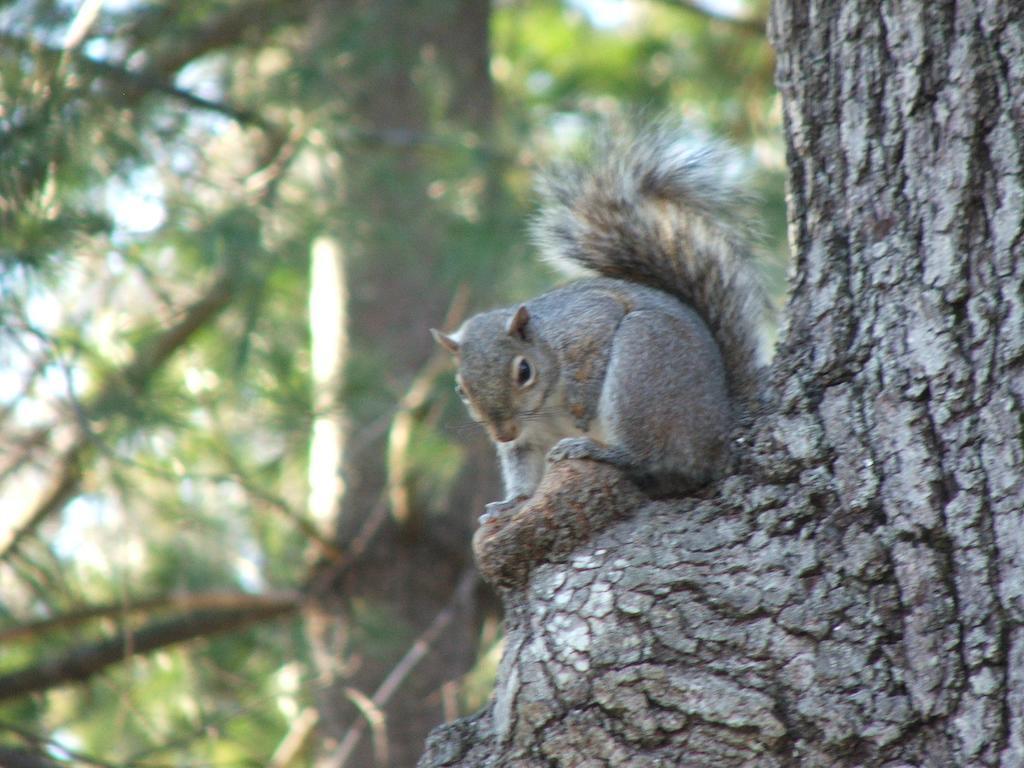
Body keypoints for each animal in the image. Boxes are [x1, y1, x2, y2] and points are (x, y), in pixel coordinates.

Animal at [432, 121, 770, 524]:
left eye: (524, 371)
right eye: (461, 389)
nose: (502, 433)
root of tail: (717, 436)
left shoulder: (587, 324)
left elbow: (595, 349)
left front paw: (581, 412)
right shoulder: (526, 442)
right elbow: (523, 469)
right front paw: (511, 503)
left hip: (644, 365)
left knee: (646, 454)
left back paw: (597, 449)